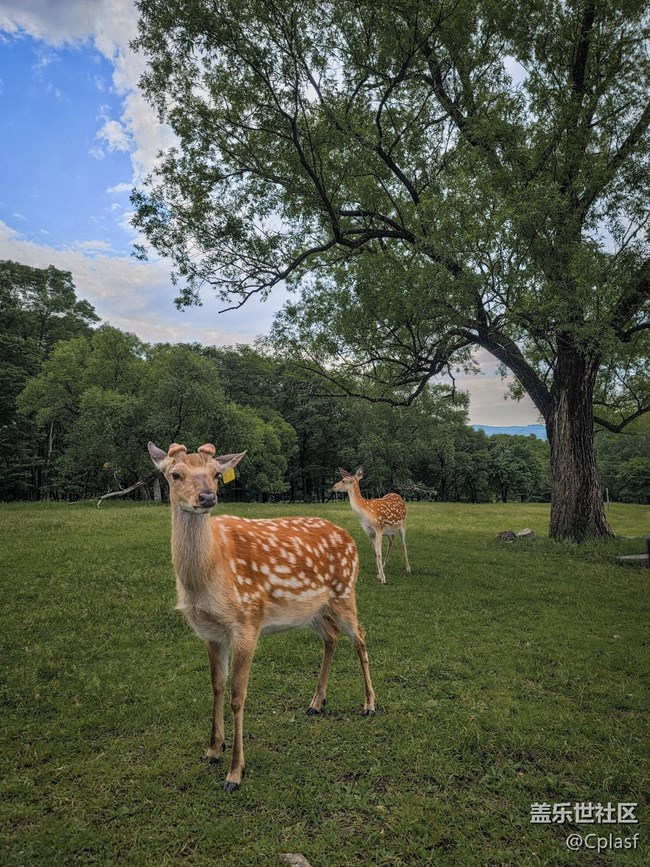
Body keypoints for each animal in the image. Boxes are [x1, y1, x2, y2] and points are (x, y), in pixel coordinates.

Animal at [145, 444, 372, 792]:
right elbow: (216, 685)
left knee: (360, 638)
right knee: (331, 636)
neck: (209, 575)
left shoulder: (247, 623)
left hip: (345, 591)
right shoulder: (210, 632)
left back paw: (369, 705)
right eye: (175, 474)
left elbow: (238, 696)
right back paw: (316, 703)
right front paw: (213, 749)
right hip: (312, 611)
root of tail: (349, 537)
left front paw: (234, 773)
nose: (207, 497)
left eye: (216, 474)